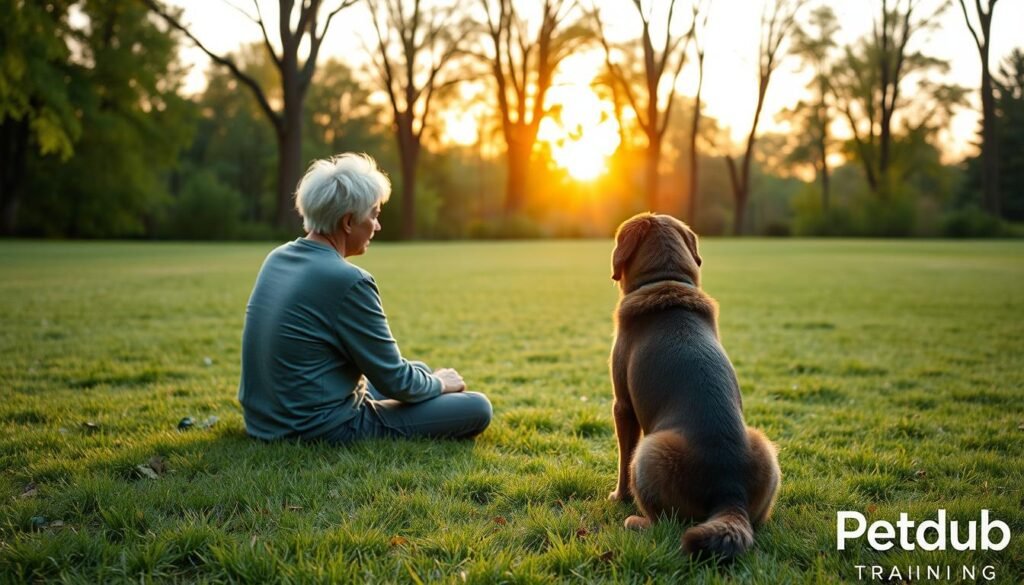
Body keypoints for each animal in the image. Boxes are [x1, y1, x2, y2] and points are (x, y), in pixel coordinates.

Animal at [602, 213, 778, 561]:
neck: (665, 280)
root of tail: (728, 491)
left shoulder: (622, 405)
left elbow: (622, 457)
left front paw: (619, 496)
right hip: (765, 447)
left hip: (649, 451)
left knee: (665, 521)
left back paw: (635, 521)